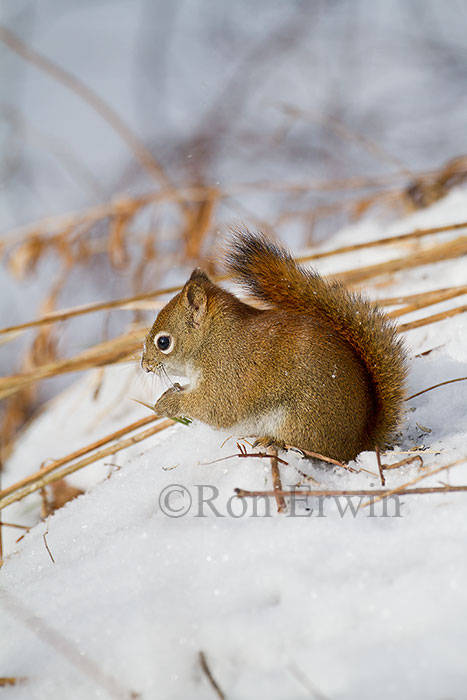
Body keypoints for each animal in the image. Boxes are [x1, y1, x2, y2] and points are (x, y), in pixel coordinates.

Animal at [141, 230, 408, 462]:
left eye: (163, 342)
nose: (145, 366)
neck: (212, 340)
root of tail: (359, 442)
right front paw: (170, 392)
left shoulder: (227, 374)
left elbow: (216, 407)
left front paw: (167, 404)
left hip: (300, 420)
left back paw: (273, 442)